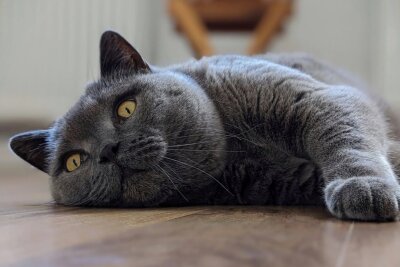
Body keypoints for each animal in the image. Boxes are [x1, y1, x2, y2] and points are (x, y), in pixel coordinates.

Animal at [8, 30, 400, 222]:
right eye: (75, 161)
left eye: (125, 108)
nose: (107, 150)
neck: (237, 150)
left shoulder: (316, 99)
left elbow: (345, 136)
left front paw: (362, 187)